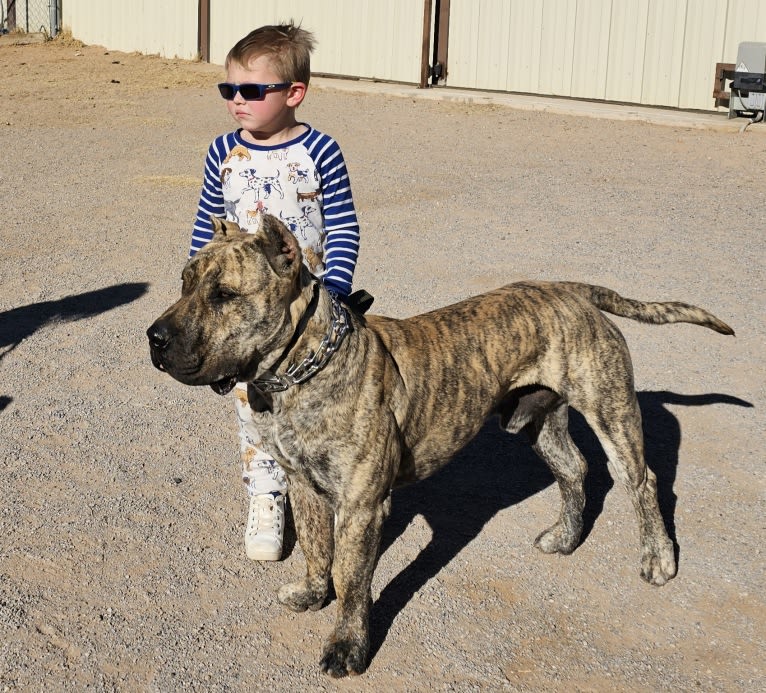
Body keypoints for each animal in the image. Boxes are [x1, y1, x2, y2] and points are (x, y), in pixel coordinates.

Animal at [147, 215, 736, 676]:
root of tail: (570, 289)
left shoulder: (361, 506)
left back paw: (658, 559)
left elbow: (353, 580)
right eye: (184, 283)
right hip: (538, 421)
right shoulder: (305, 484)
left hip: (611, 411)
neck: (304, 368)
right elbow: (317, 549)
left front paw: (347, 646)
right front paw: (313, 593)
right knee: (574, 469)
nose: (154, 337)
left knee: (642, 481)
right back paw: (565, 537)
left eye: (224, 295)